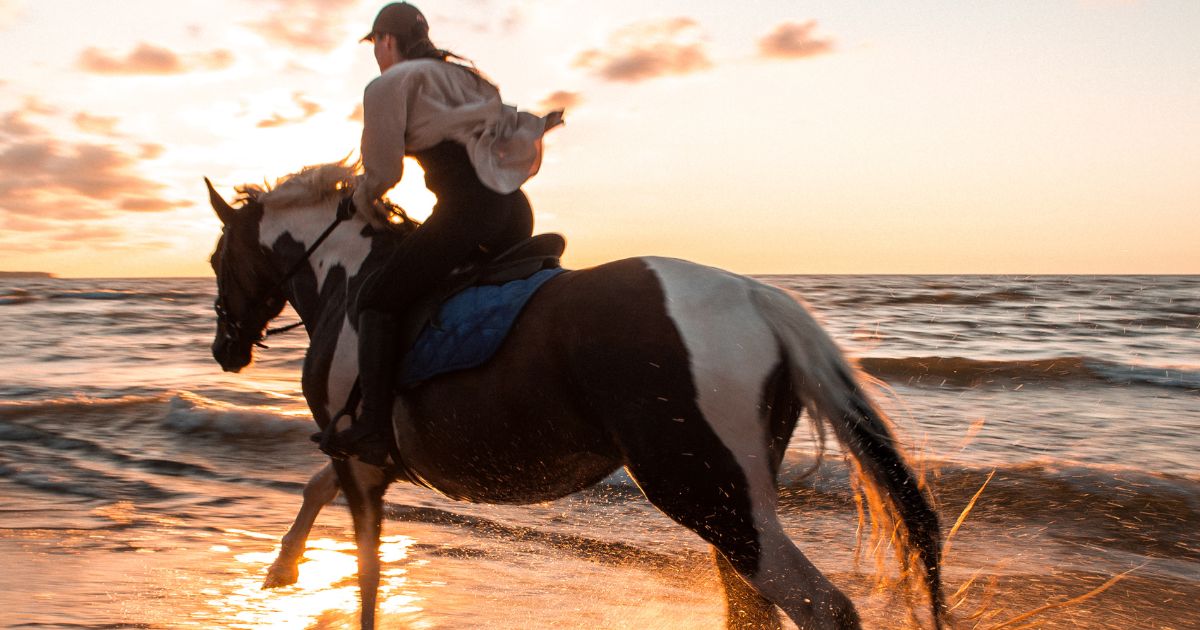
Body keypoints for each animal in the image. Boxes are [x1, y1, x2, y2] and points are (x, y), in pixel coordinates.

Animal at [204, 161, 946, 630]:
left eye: (216, 259)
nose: (225, 349)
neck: (349, 281)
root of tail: (757, 299)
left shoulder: (358, 456)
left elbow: (365, 575)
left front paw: (289, 566)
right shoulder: (365, 456)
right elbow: (316, 489)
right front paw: (281, 567)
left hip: (706, 494)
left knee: (820, 607)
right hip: (731, 495)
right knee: (753, 608)